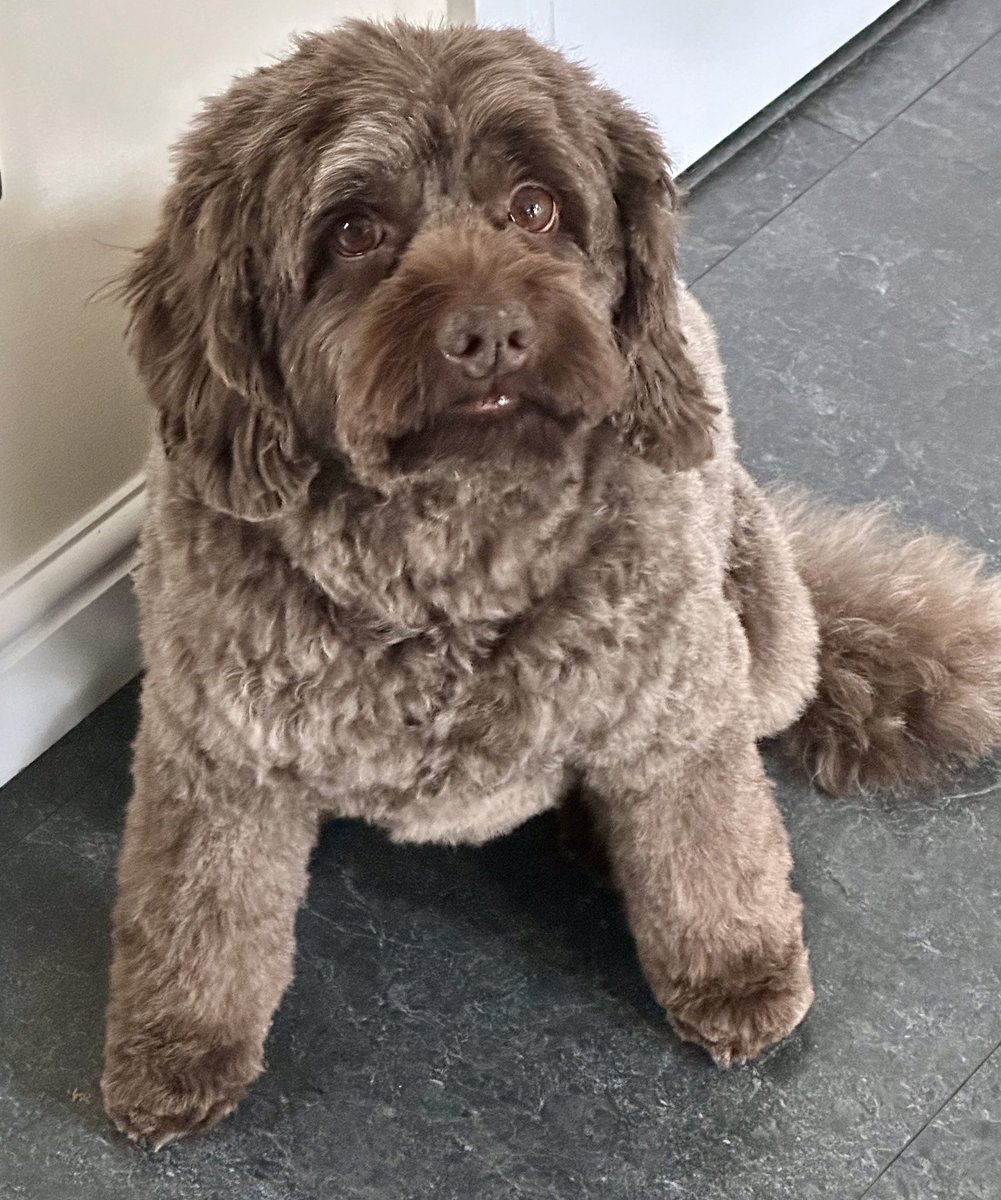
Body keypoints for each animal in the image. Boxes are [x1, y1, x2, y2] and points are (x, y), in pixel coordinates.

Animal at [99, 16, 998, 1142]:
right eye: (353, 230)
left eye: (535, 207)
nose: (489, 333)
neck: (453, 554)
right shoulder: (219, 752)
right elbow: (198, 914)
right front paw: (175, 1048)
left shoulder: (679, 708)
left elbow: (712, 845)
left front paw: (738, 973)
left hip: (766, 644)